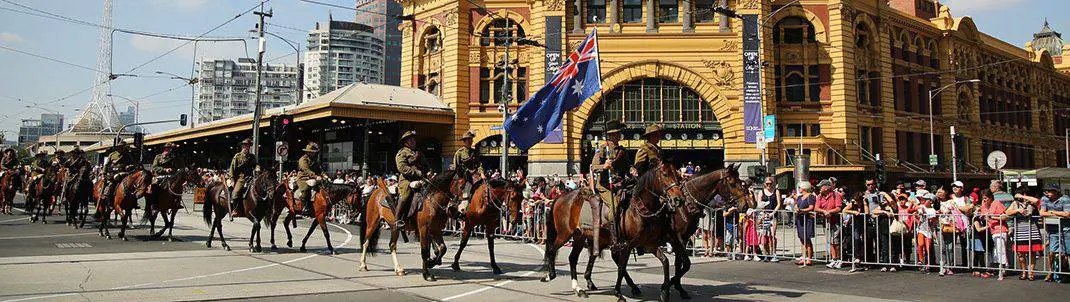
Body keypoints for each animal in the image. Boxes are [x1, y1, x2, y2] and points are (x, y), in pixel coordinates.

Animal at [539, 162, 680, 297]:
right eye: (665, 174)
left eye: (676, 173)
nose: (678, 199)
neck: (638, 208)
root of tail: (561, 197)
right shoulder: (626, 245)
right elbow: (621, 267)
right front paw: (618, 291)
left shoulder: (648, 244)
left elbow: (665, 261)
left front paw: (665, 291)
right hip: (564, 234)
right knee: (552, 249)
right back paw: (550, 275)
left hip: (579, 236)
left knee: (572, 258)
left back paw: (578, 288)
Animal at [659, 163, 753, 297]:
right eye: (732, 183)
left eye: (741, 182)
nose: (745, 205)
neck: (686, 203)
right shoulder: (678, 239)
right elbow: (685, 264)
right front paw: (669, 284)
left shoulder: (683, 238)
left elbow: (680, 264)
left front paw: (678, 287)